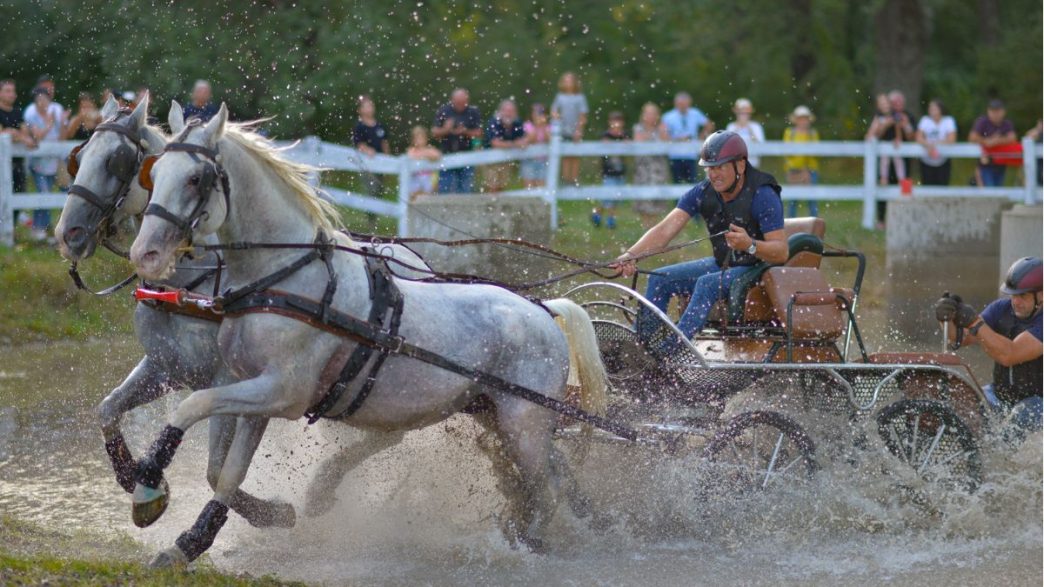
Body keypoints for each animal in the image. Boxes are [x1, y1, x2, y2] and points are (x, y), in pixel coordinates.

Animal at [127, 103, 608, 566]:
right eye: (155, 171)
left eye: (195, 178)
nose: (144, 253)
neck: (284, 279)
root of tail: (544, 310)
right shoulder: (255, 392)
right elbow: (227, 472)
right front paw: (191, 542)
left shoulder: (283, 392)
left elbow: (191, 405)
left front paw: (147, 484)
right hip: (497, 414)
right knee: (556, 476)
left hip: (523, 422)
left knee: (545, 489)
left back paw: (528, 542)